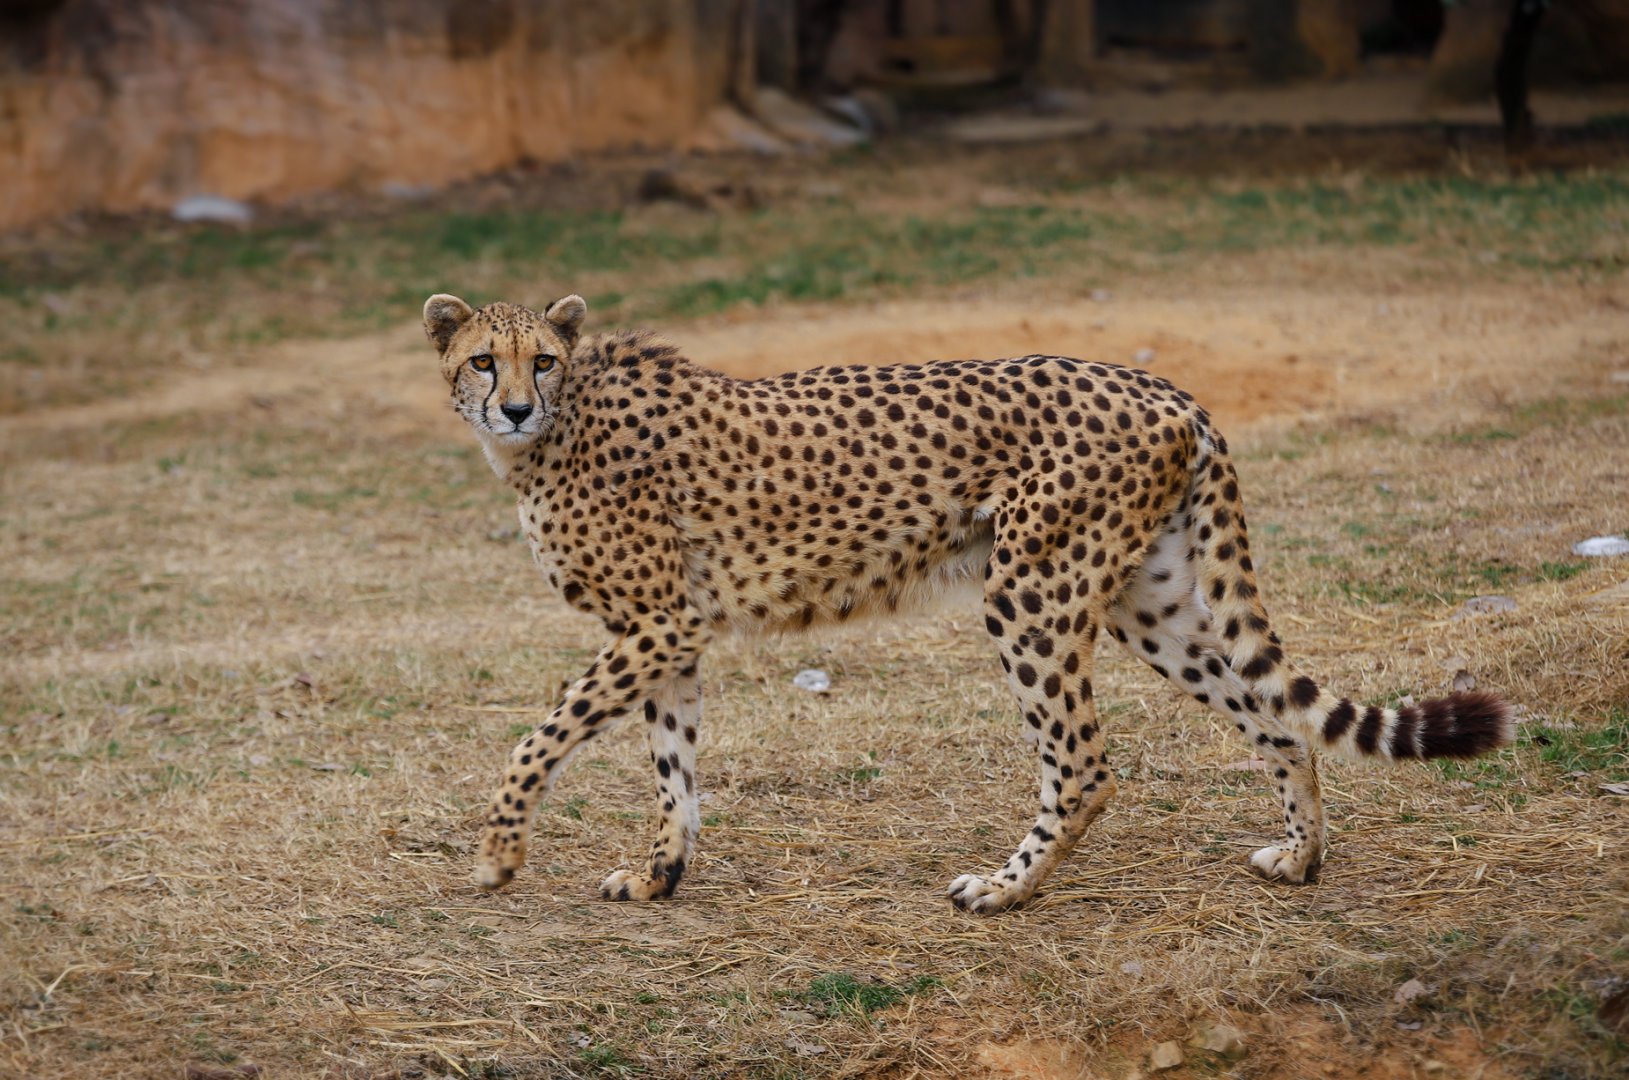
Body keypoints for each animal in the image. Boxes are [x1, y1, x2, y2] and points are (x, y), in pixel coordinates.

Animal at [421, 291, 1515, 914]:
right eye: (483, 359)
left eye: (541, 359)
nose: (511, 405)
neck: (553, 432)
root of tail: (1167, 389)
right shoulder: (669, 635)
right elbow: (671, 771)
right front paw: (659, 875)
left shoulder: (659, 623)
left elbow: (537, 737)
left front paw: (496, 856)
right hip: (1145, 602)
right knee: (1273, 717)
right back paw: (1302, 856)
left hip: (1027, 591)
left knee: (1083, 762)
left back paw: (1004, 887)